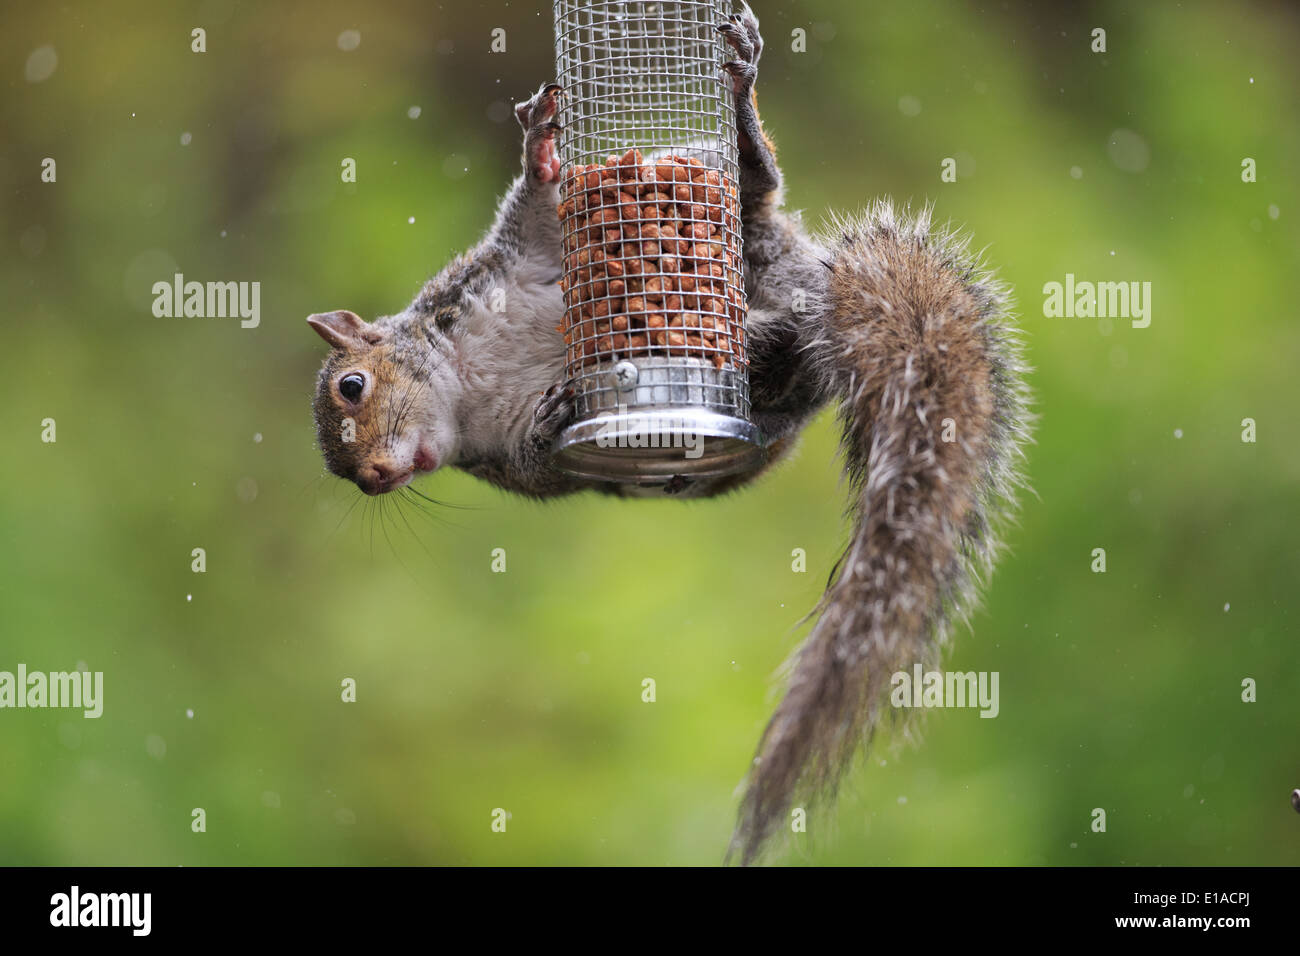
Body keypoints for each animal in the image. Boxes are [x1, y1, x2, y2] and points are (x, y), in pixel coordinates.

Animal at [307, 3, 1030, 864]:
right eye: (343, 474)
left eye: (352, 387)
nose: (375, 478)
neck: (462, 387)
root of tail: (822, 295)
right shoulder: (505, 464)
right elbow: (543, 462)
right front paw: (553, 415)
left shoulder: (507, 268)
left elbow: (536, 214)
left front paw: (542, 149)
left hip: (752, 245)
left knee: (757, 186)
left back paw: (741, 108)